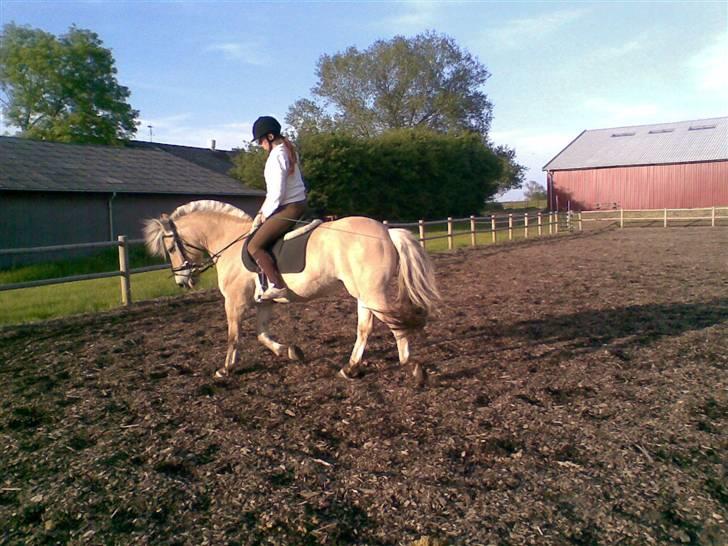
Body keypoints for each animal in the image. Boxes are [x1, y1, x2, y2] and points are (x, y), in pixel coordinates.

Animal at [141, 199, 438, 382]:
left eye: (171, 248)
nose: (182, 282)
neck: (230, 242)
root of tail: (387, 233)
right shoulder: (263, 302)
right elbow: (261, 334)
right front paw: (291, 352)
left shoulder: (234, 302)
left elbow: (234, 336)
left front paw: (225, 369)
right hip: (364, 294)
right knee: (365, 328)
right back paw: (350, 369)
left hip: (372, 293)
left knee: (394, 324)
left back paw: (413, 367)